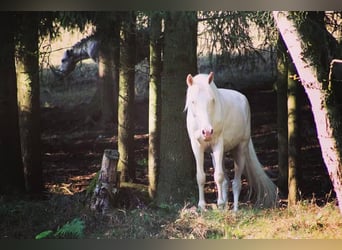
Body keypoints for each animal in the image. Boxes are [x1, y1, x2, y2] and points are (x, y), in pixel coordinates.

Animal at [184, 72, 278, 211]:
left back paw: (235, 209)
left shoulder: (217, 144)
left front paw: (220, 203)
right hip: (218, 154)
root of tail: (243, 98)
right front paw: (202, 206)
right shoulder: (197, 146)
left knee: (236, 182)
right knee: (226, 181)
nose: (207, 132)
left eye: (212, 100)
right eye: (193, 101)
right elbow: (201, 176)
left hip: (240, 149)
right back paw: (224, 207)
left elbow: (218, 176)